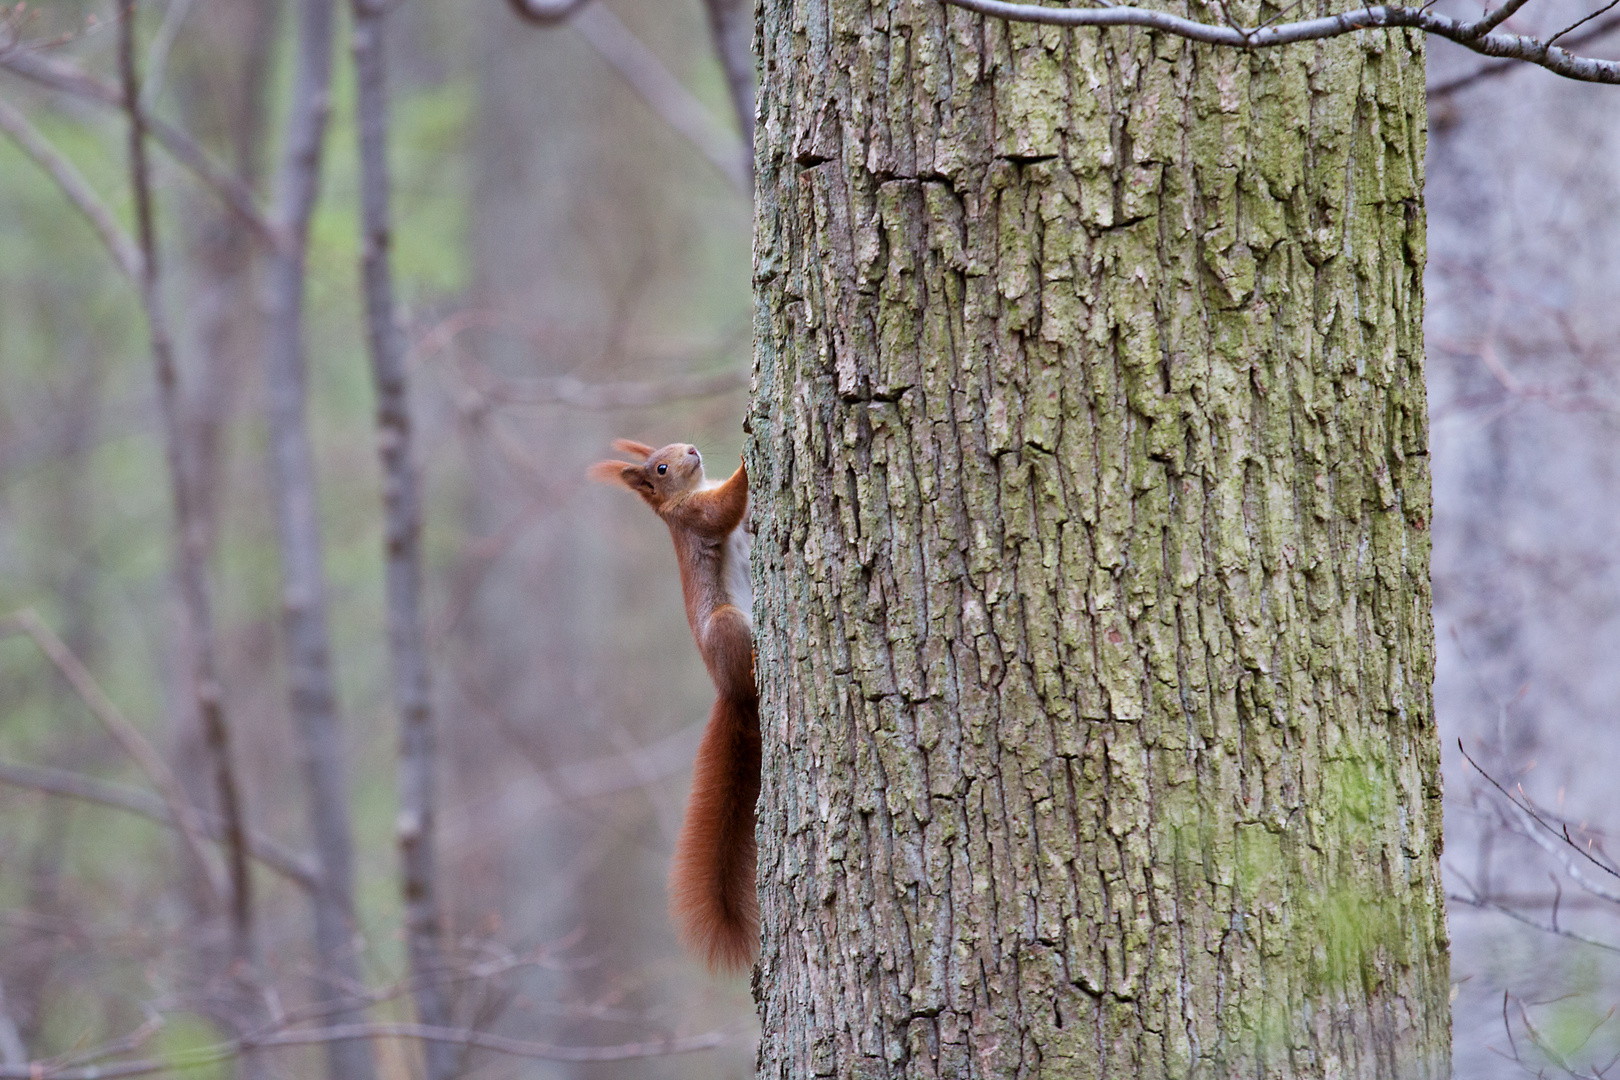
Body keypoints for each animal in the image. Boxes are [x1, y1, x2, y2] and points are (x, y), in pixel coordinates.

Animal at [589, 440, 758, 971]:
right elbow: (723, 508)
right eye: (660, 467)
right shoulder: (693, 518)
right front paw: (746, 461)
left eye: (674, 448)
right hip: (725, 625)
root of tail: (731, 695)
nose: (693, 449)